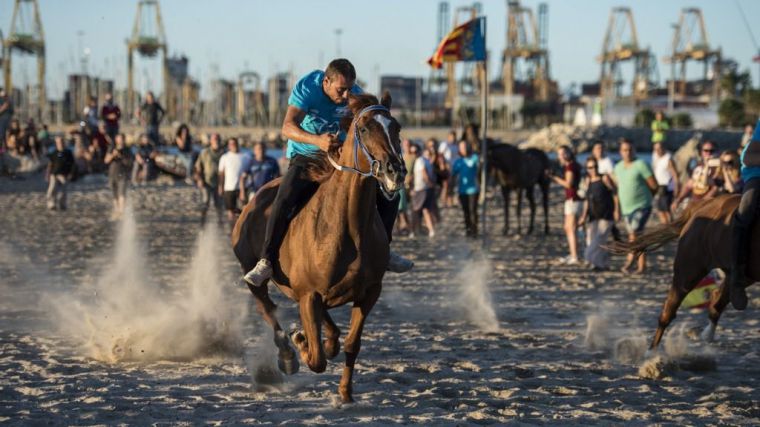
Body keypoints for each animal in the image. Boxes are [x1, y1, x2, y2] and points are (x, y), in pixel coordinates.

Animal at [232, 92, 406, 402]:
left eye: (395, 127)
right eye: (364, 129)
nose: (394, 171)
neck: (348, 225)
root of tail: (252, 203)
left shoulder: (369, 293)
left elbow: (351, 345)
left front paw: (345, 392)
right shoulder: (309, 294)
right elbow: (316, 359)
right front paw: (301, 341)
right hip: (252, 272)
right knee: (268, 308)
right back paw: (288, 353)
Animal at [616, 196, 756, 352]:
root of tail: (705, 204)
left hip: (741, 275)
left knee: (718, 299)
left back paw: (706, 334)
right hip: (689, 269)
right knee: (670, 308)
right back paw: (651, 352)